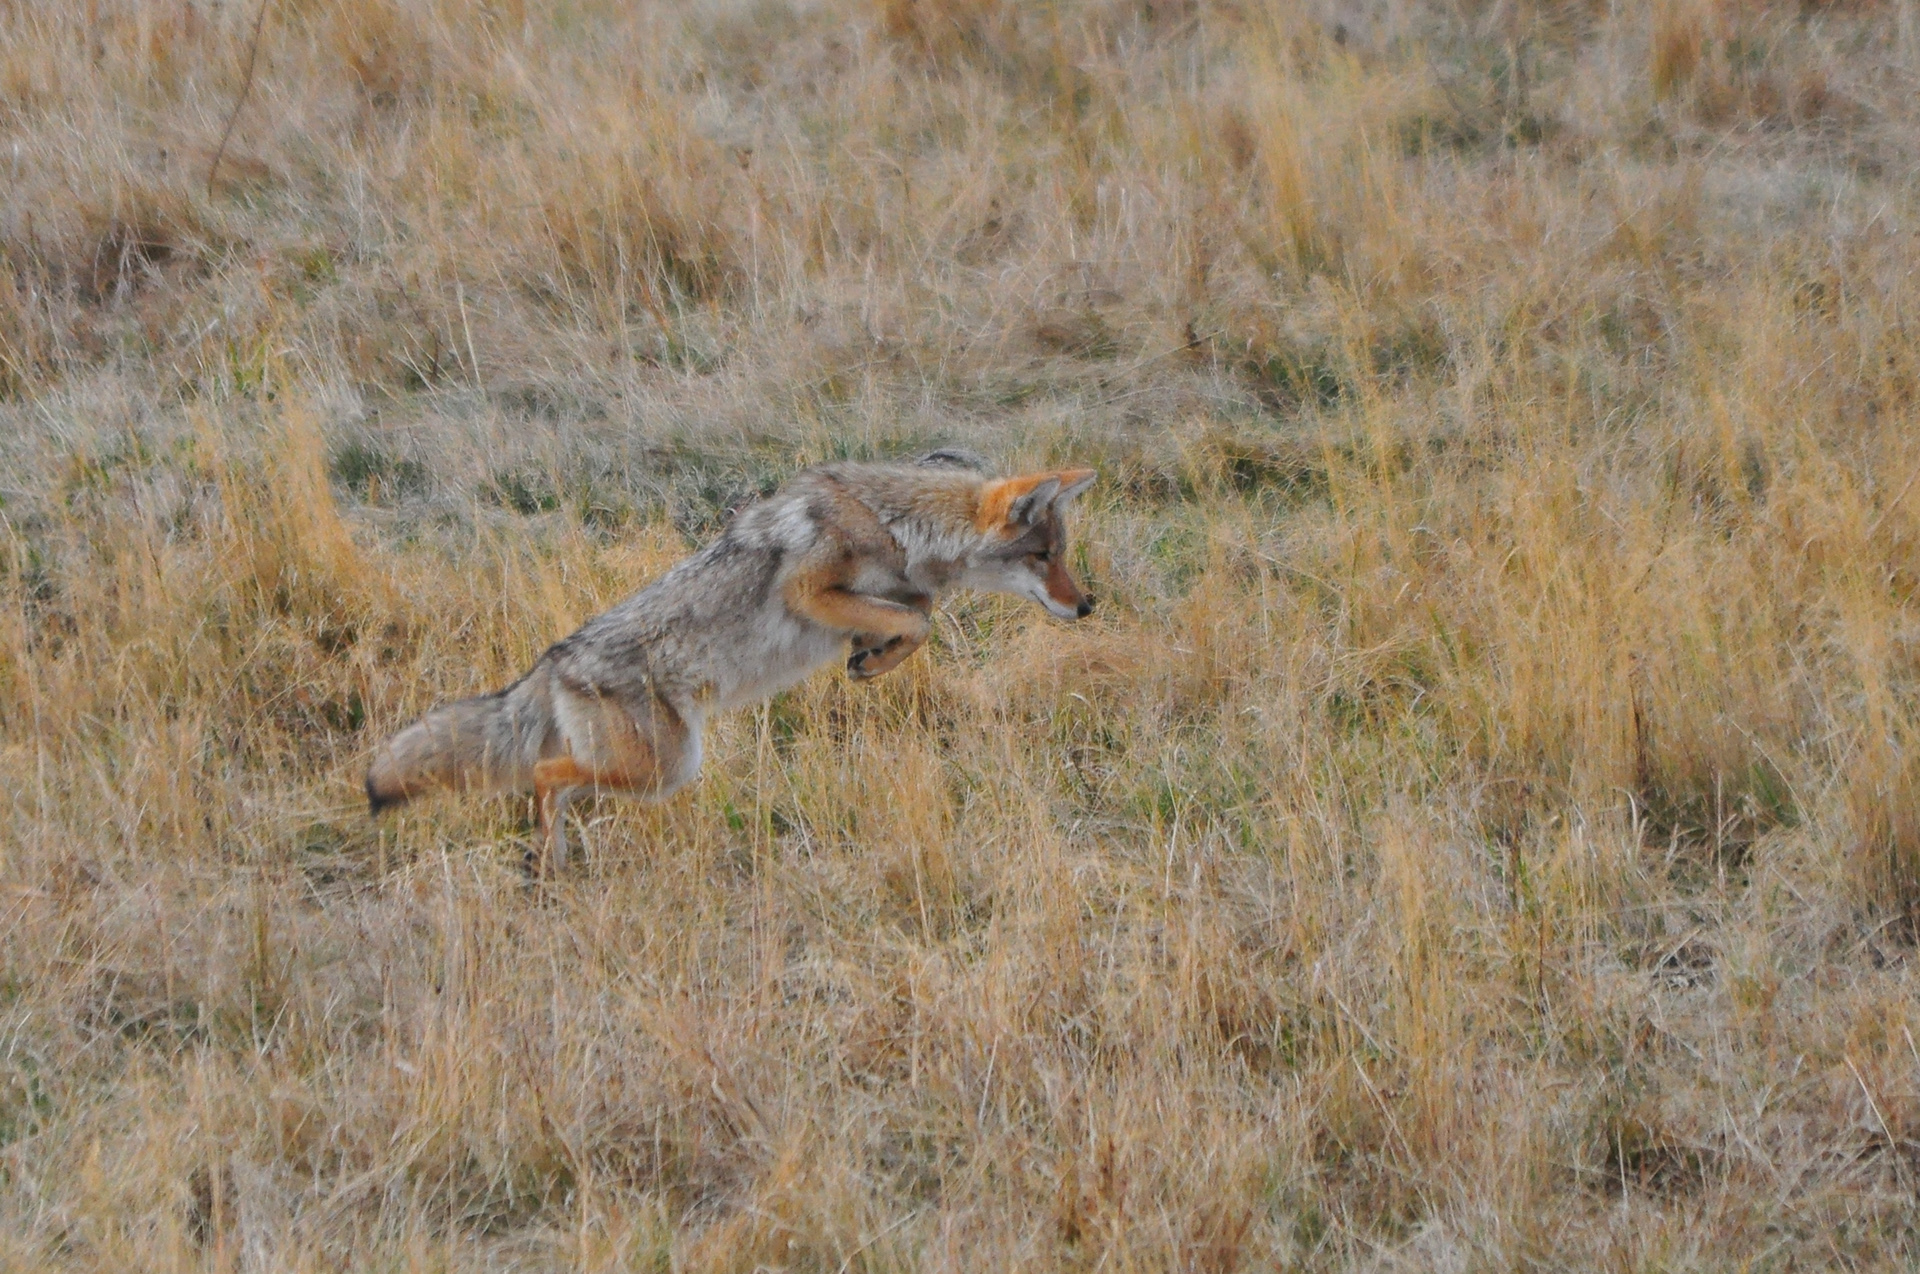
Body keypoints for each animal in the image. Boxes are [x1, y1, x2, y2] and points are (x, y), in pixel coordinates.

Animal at [365, 451, 1098, 875]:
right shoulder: (808, 590)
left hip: (654, 768)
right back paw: (551, 862)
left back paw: (552, 862)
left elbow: (914, 616)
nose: (1088, 605)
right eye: (1043, 556)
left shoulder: (882, 595)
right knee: (545, 776)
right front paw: (872, 657)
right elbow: (919, 619)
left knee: (554, 784)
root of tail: (550, 662)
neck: (898, 525)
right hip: (666, 766)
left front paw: (871, 655)